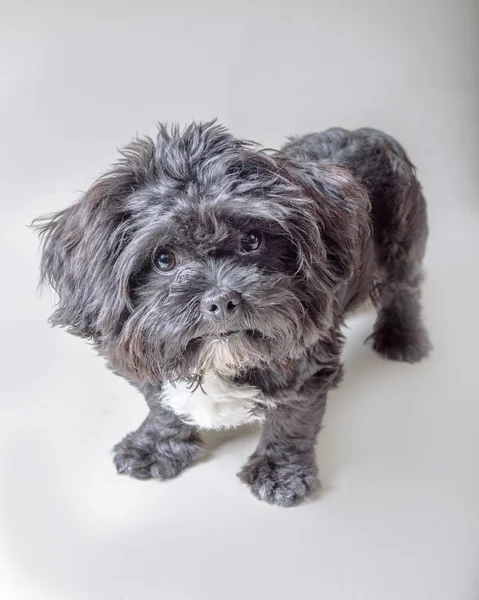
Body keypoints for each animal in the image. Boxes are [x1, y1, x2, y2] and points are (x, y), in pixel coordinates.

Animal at [35, 120, 434, 506]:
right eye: (164, 259)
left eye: (252, 240)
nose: (222, 299)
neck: (220, 362)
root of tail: (368, 132)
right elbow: (162, 406)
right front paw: (157, 446)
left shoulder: (305, 360)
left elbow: (293, 418)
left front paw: (280, 472)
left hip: (402, 244)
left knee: (404, 290)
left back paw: (402, 339)